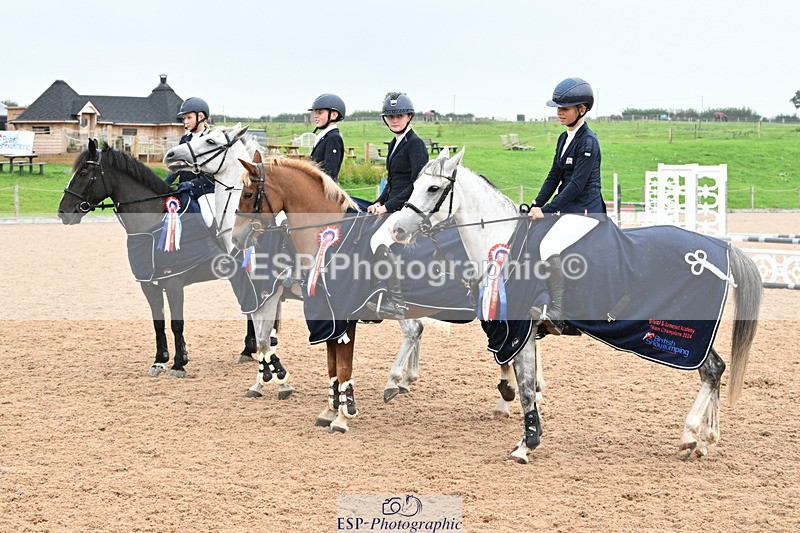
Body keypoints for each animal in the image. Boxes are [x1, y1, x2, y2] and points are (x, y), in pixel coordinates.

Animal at [231, 152, 545, 463]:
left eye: (247, 194)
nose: (236, 238)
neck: (331, 240)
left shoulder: (332, 315)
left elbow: (341, 367)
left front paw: (342, 417)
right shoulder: (326, 317)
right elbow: (330, 366)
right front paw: (328, 410)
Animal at [390, 149, 763, 459]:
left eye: (433, 189)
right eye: (415, 184)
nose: (398, 231)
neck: (507, 244)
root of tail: (721, 247)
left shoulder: (519, 331)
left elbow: (526, 389)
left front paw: (526, 444)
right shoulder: (520, 333)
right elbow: (524, 383)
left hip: (689, 336)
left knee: (711, 370)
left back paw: (690, 435)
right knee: (713, 370)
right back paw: (705, 440)